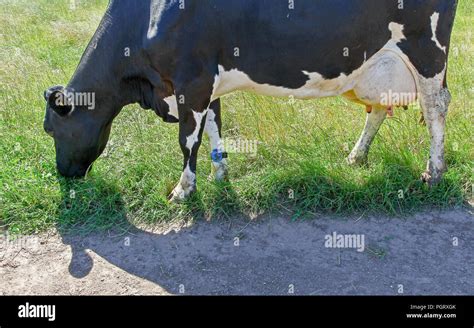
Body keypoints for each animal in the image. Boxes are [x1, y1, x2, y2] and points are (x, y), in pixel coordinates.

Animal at [43, 0, 460, 201]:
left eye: (51, 129)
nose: (63, 174)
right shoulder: (207, 83)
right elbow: (214, 129)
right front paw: (220, 175)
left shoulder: (191, 80)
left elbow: (187, 140)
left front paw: (183, 189)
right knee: (378, 110)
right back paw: (357, 157)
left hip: (426, 50)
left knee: (436, 106)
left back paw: (434, 173)